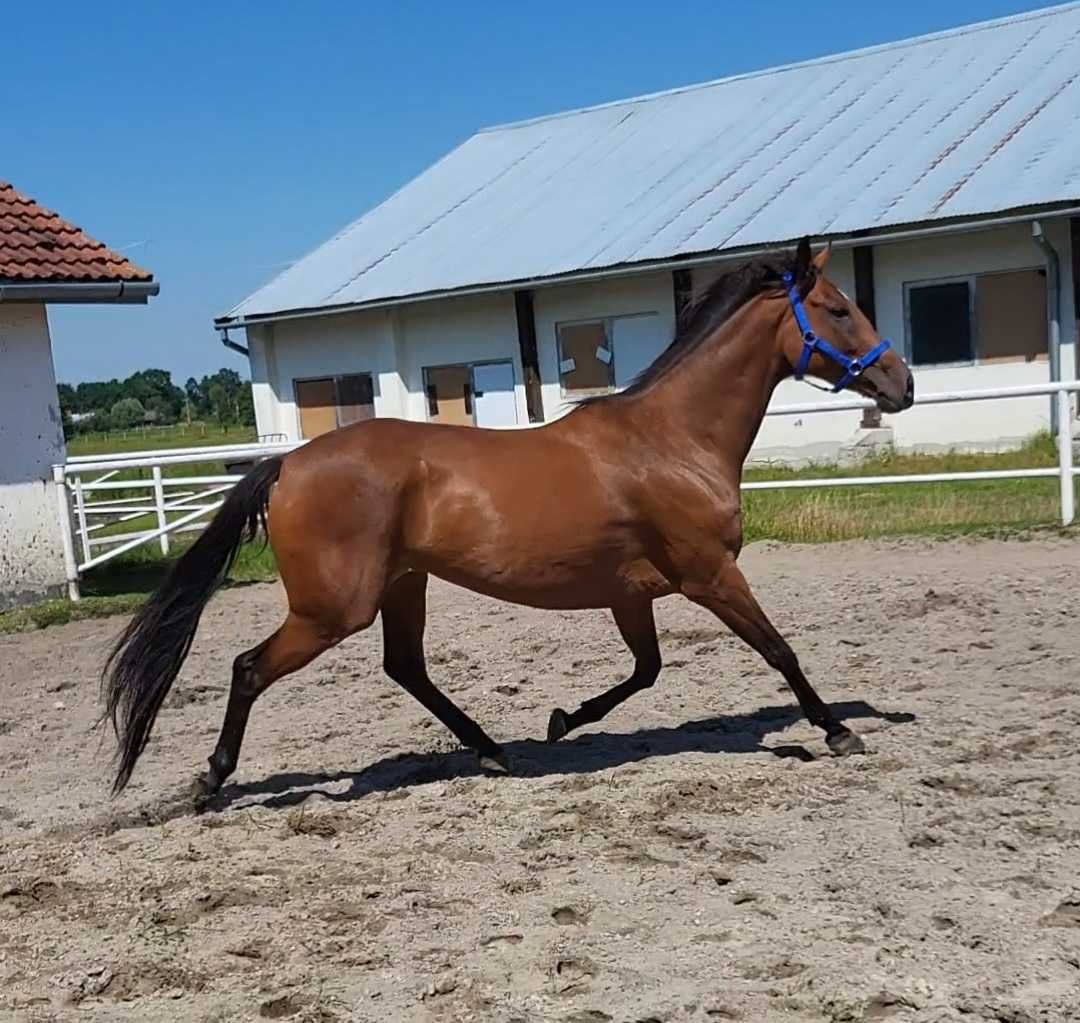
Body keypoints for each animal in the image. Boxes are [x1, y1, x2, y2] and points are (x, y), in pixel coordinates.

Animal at [101, 237, 911, 799]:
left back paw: (494, 749)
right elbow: (779, 650)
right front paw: (839, 732)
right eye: (838, 309)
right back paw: (211, 779)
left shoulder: (632, 594)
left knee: (407, 668)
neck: (671, 441)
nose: (899, 381)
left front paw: (563, 720)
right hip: (335, 608)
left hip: (403, 585)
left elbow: (646, 671)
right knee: (249, 669)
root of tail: (289, 464)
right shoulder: (710, 574)